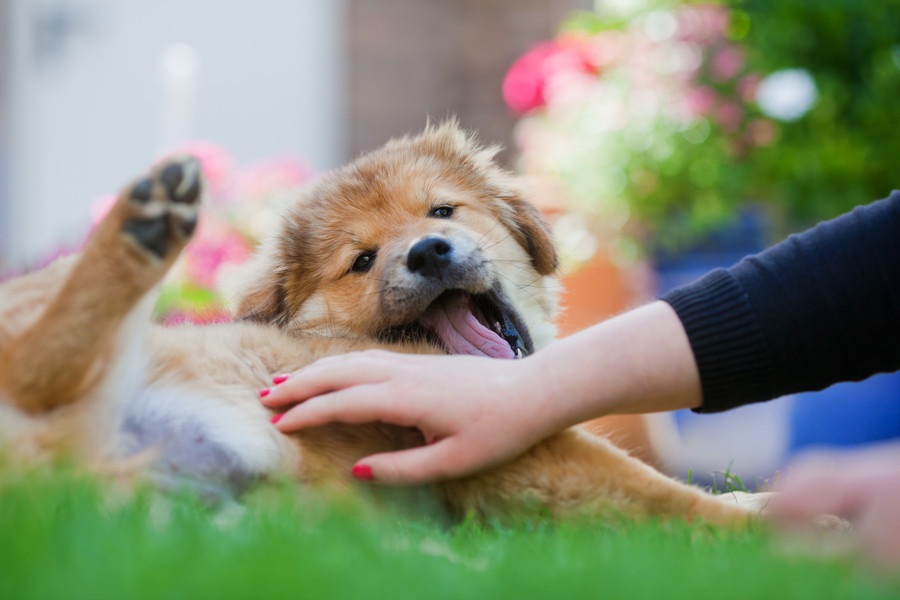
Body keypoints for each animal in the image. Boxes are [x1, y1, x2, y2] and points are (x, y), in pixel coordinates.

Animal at [0, 123, 760, 524]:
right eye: (362, 260)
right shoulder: (506, 444)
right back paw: (144, 221)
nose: (428, 252)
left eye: (441, 211)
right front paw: (764, 529)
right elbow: (665, 495)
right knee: (35, 360)